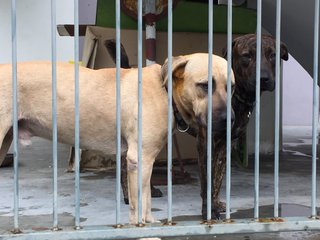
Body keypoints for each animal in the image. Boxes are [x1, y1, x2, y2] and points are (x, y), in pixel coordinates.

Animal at [0, 53, 234, 225]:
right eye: (205, 85)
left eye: (231, 86)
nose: (230, 119)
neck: (166, 93)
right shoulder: (139, 160)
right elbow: (138, 203)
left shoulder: (146, 161)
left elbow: (147, 198)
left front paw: (150, 221)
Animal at [199, 33, 288, 219]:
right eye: (247, 56)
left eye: (273, 55)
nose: (263, 78)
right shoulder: (205, 143)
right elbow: (207, 180)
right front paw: (208, 211)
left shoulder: (224, 145)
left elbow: (217, 179)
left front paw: (215, 204)